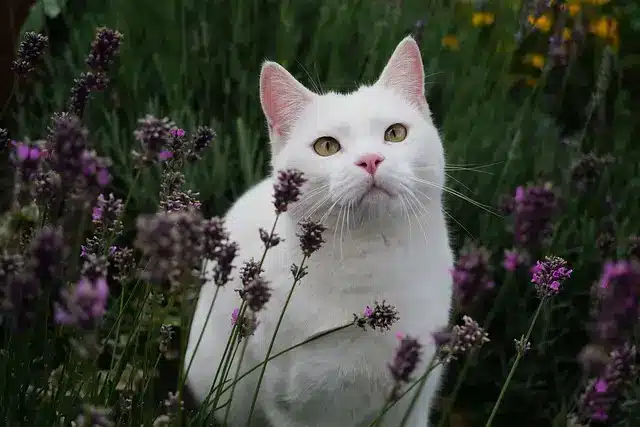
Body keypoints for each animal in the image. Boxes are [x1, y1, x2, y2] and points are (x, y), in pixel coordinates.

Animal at [185, 37, 456, 427]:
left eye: (395, 133)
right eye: (326, 146)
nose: (370, 160)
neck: (370, 262)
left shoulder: (411, 403)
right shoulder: (289, 407)